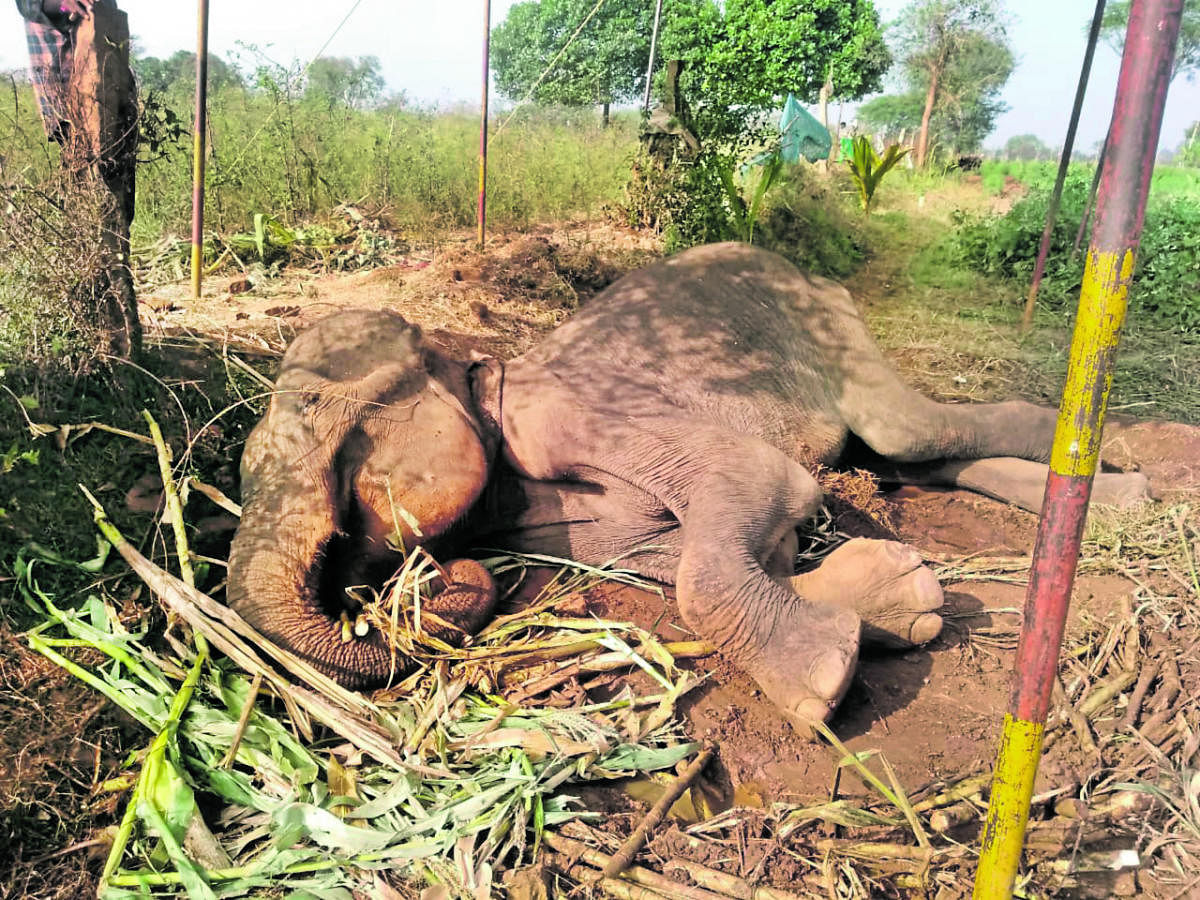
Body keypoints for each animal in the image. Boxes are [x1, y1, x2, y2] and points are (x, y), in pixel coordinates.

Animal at [226, 243, 1152, 734]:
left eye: (331, 428)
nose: (414, 582)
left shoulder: (568, 415)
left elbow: (758, 487)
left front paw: (823, 683)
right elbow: (700, 546)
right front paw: (899, 600)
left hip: (828, 329)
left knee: (907, 432)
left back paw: (1127, 478)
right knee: (910, 459)